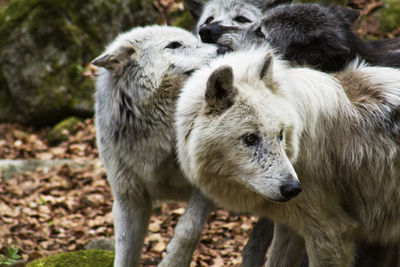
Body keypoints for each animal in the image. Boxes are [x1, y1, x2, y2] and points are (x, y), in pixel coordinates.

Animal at [92, 24, 219, 266]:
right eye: (174, 45)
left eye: (197, 40)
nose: (224, 48)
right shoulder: (129, 198)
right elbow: (124, 249)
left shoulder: (205, 186)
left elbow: (188, 229)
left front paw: (173, 261)